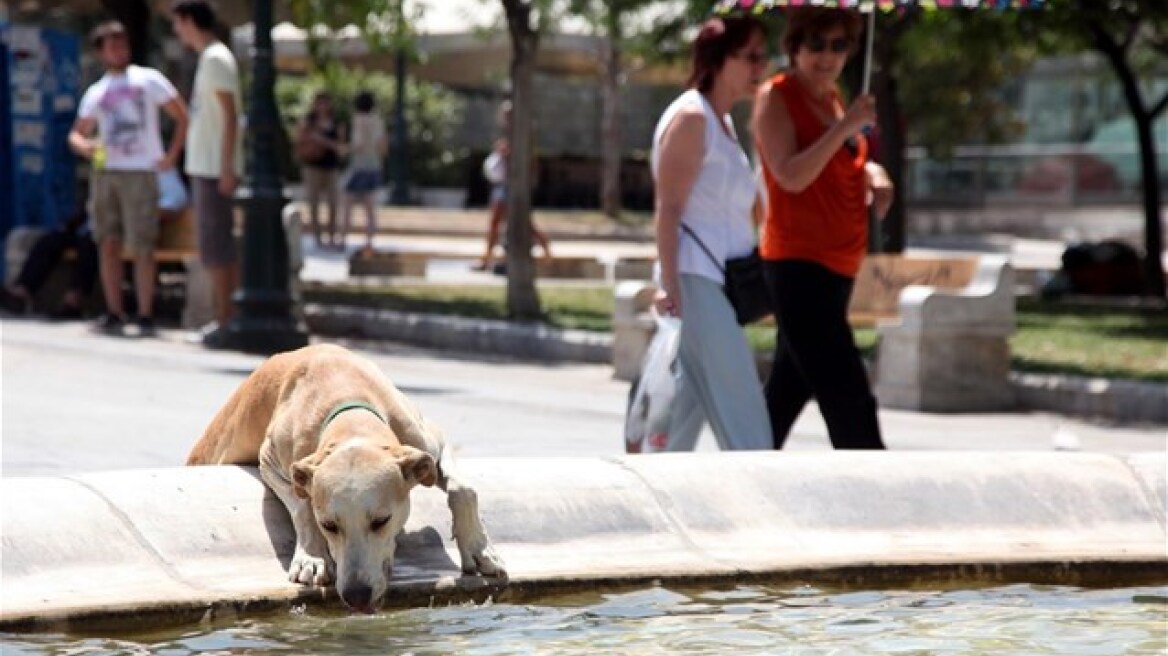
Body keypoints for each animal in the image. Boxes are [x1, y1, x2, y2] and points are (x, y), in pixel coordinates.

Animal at [186, 338, 506, 611]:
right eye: (328, 525)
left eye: (381, 521)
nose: (357, 596)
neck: (351, 415)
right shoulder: (271, 459)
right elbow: (303, 504)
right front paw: (312, 557)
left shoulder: (428, 440)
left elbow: (463, 489)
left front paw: (480, 550)